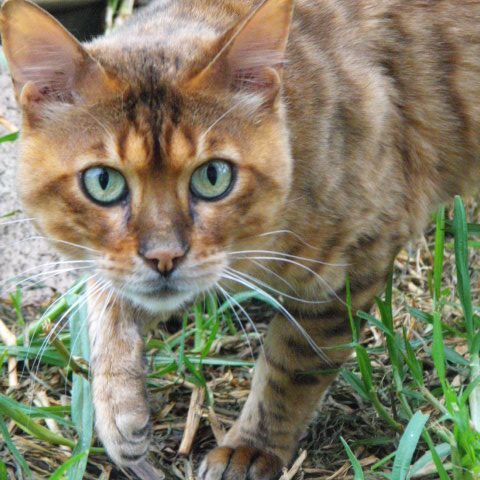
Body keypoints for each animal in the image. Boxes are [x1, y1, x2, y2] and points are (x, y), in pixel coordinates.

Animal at [0, 0, 480, 478]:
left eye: (213, 177)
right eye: (103, 182)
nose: (164, 257)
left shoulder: (353, 263)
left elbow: (291, 367)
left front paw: (252, 447)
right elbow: (105, 305)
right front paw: (119, 413)